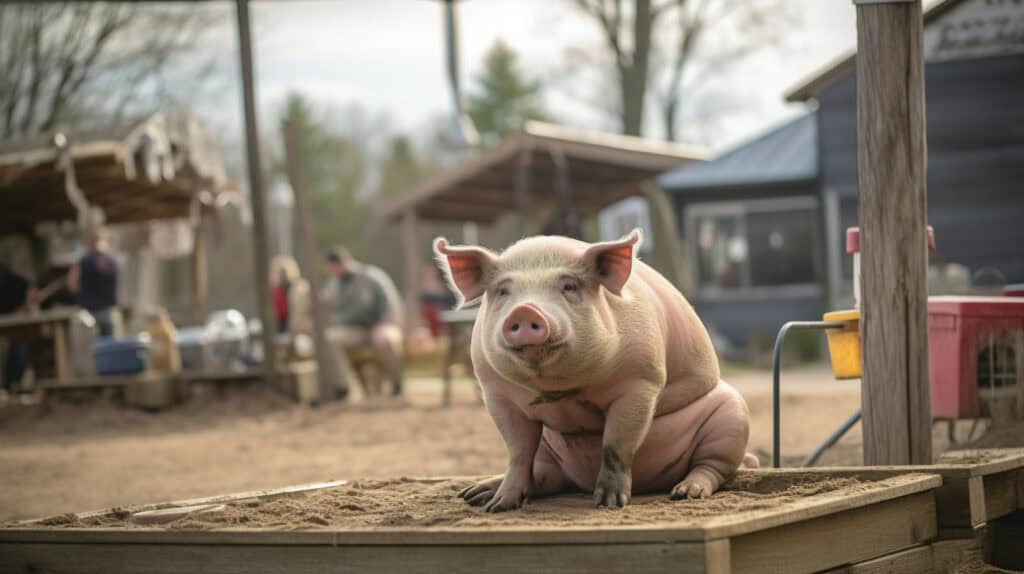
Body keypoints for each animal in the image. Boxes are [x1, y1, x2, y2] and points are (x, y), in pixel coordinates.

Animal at [433, 229, 755, 512]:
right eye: (503, 291)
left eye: (569, 287)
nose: (525, 311)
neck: (557, 389)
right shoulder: (495, 392)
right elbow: (518, 451)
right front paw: (498, 508)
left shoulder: (640, 381)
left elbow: (616, 444)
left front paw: (609, 504)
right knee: (544, 474)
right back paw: (475, 494)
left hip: (732, 417)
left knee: (713, 466)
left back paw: (686, 492)